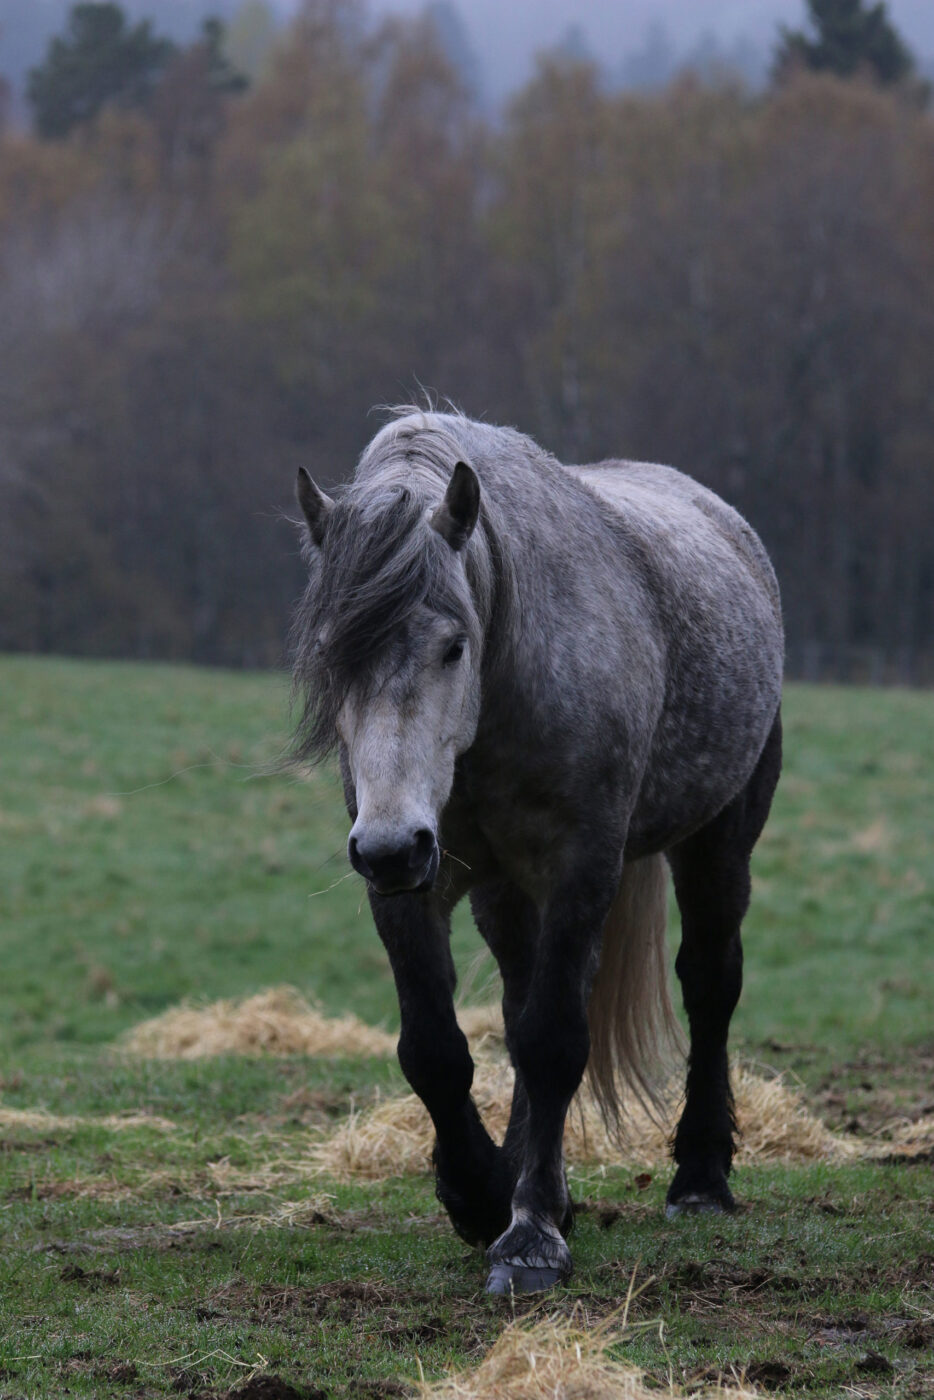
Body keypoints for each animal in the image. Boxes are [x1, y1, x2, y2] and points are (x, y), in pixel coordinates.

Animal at [289, 408, 784, 1293]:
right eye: (330, 655)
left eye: (453, 646)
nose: (390, 845)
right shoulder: (411, 887)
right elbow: (437, 1050)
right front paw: (483, 1197)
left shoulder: (579, 868)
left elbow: (553, 1039)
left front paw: (528, 1240)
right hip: (503, 893)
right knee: (522, 1000)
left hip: (720, 840)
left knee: (708, 984)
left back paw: (699, 1179)